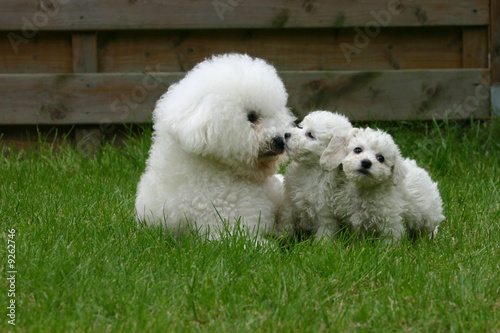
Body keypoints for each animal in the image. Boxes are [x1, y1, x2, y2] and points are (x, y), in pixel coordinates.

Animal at [278, 111, 356, 239]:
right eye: (301, 127)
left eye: (310, 135)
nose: (286, 134)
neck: (310, 170)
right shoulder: (290, 201)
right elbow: (286, 220)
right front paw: (282, 237)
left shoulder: (326, 216)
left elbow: (323, 236)